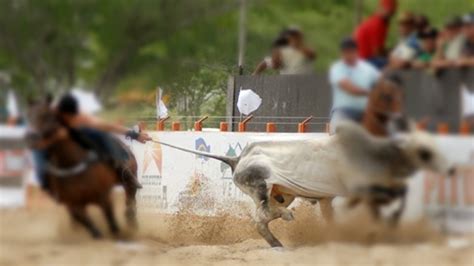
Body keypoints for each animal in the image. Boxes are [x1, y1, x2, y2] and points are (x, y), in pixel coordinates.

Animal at [26, 97, 139, 239]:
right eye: (28, 115)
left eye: (47, 115)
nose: (30, 137)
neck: (72, 164)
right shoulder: (73, 204)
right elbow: (86, 223)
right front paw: (97, 235)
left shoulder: (104, 197)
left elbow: (111, 221)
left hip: (128, 181)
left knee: (130, 198)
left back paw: (132, 221)